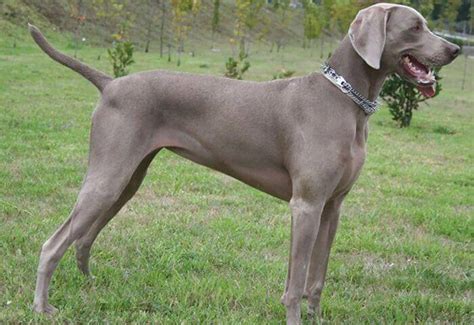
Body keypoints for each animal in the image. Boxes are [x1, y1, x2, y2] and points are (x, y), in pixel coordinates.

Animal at [29, 3, 460, 324]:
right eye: (415, 27)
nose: (455, 50)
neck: (344, 98)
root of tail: (111, 82)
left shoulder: (333, 207)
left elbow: (317, 279)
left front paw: (317, 317)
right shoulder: (306, 205)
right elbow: (295, 283)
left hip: (128, 178)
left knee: (84, 236)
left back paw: (90, 284)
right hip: (109, 175)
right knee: (53, 243)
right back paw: (42, 307)